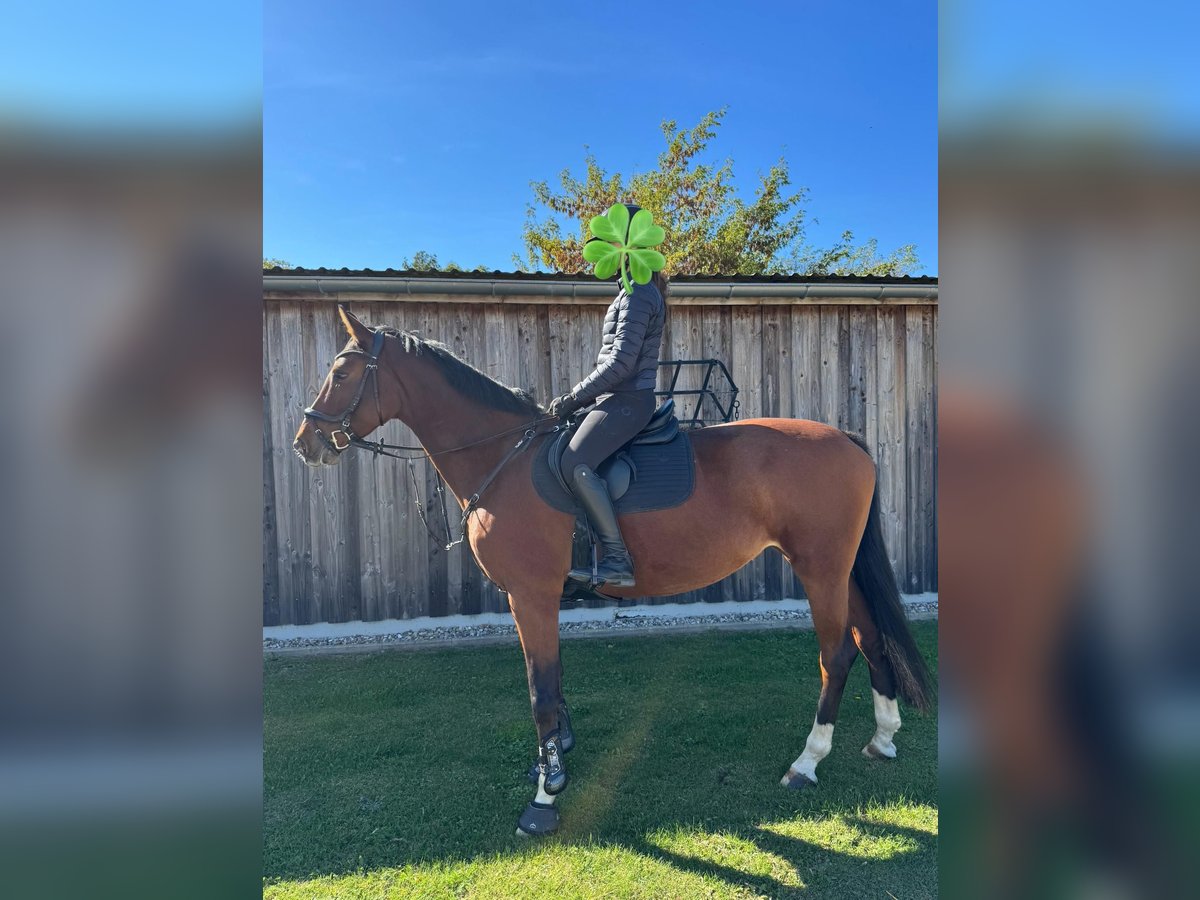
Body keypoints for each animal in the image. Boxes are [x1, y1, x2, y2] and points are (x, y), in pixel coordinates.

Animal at [292, 306, 931, 836]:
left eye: (343, 374)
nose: (306, 442)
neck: (506, 458)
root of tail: (845, 438)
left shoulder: (529, 595)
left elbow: (540, 691)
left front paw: (545, 798)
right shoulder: (534, 600)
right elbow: (551, 686)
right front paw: (556, 760)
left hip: (820, 568)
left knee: (836, 654)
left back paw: (807, 761)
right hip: (839, 568)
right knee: (870, 638)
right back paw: (882, 738)